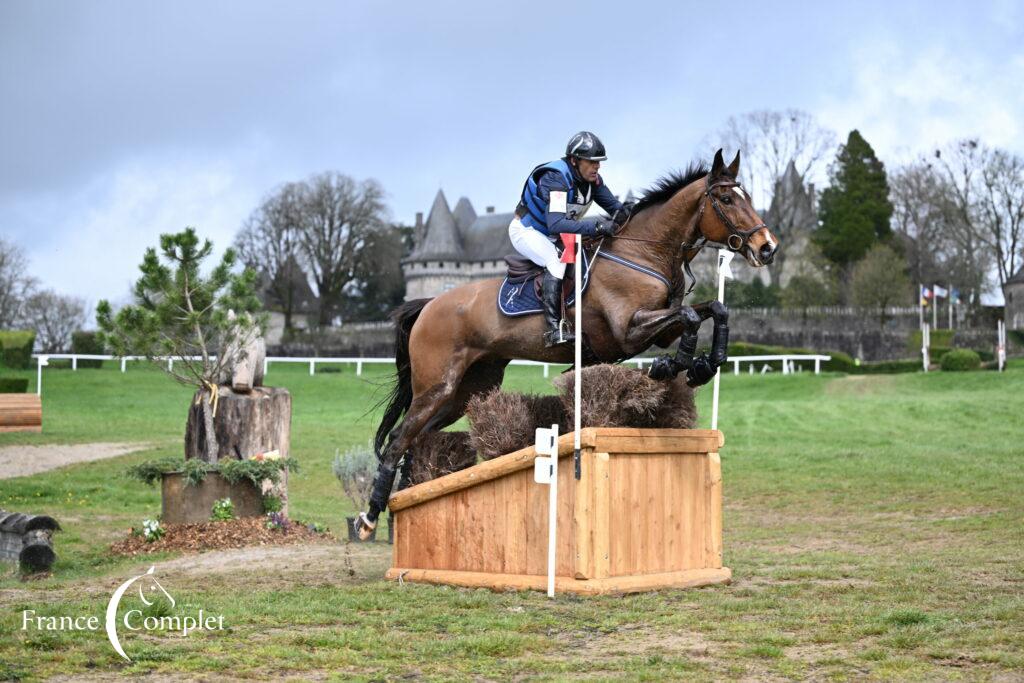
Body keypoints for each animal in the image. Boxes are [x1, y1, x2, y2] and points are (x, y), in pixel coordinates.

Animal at [356, 147, 778, 536]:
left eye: (747, 196)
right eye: (726, 199)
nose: (767, 246)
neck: (641, 252)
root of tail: (430, 304)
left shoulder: (661, 328)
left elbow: (714, 310)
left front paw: (706, 364)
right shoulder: (628, 332)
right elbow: (690, 317)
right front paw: (674, 366)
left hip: (469, 388)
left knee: (419, 437)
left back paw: (401, 506)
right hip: (437, 385)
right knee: (398, 440)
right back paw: (369, 517)